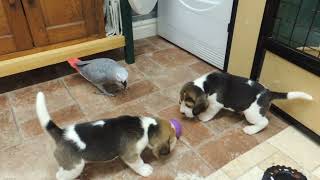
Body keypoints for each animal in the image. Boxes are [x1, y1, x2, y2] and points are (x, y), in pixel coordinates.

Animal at [36, 92, 179, 179]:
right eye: (171, 139)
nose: (177, 139)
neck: (147, 128)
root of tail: (62, 133)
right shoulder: (131, 156)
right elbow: (138, 163)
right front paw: (145, 170)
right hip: (75, 166)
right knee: (60, 176)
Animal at [180, 71, 312, 135]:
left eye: (188, 105)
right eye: (180, 101)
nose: (181, 113)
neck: (205, 85)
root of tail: (269, 93)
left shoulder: (216, 104)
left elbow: (210, 111)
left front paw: (203, 117)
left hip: (252, 114)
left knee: (264, 122)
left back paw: (251, 130)